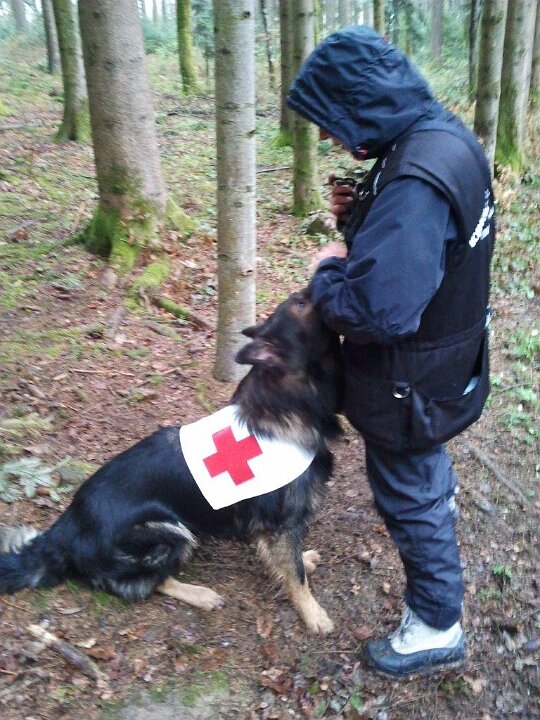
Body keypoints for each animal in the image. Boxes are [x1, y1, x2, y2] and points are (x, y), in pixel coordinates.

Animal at [0, 289, 343, 634]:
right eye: (300, 304)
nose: (317, 287)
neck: (285, 402)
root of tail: (64, 531)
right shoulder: (284, 522)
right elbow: (295, 575)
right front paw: (313, 613)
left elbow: (286, 559)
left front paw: (304, 559)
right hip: (170, 529)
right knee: (147, 583)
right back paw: (200, 594)